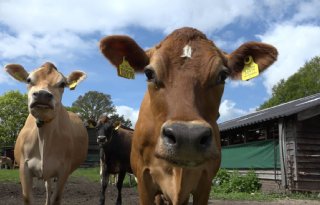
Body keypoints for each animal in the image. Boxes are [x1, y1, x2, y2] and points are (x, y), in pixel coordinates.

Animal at [5, 62, 89, 205]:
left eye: (62, 84)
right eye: (28, 80)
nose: (42, 94)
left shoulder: (64, 170)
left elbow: (56, 198)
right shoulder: (24, 168)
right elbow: (28, 198)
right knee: (48, 187)